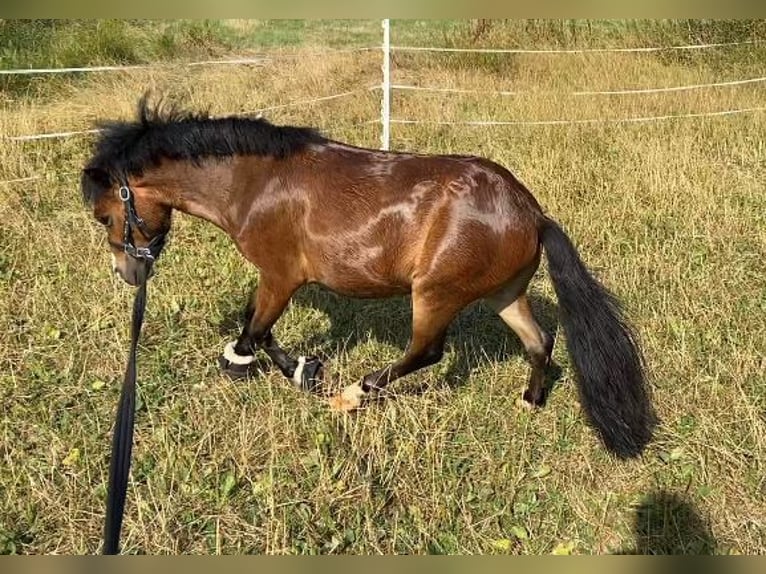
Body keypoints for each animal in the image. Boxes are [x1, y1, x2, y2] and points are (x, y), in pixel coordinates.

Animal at [84, 98, 660, 460]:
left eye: (103, 215)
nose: (128, 273)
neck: (257, 183)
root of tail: (531, 212)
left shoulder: (281, 274)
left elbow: (256, 331)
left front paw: (259, 367)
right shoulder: (278, 278)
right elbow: (260, 327)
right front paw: (303, 370)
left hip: (435, 292)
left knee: (428, 351)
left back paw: (354, 395)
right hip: (504, 292)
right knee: (539, 341)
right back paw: (530, 400)